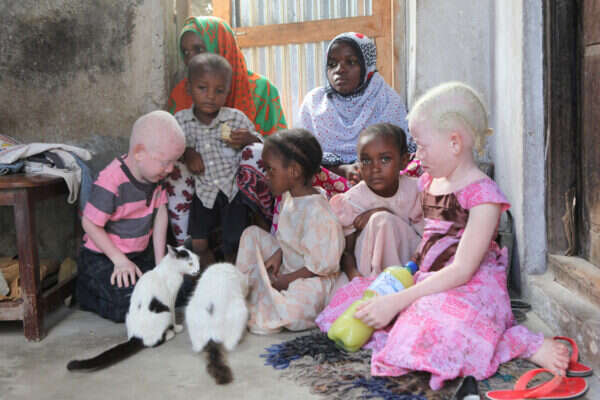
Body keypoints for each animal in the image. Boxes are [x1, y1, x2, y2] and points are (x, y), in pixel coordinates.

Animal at [67, 244, 200, 371]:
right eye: (190, 263)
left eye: (197, 261)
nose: (198, 270)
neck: (169, 269)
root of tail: (137, 335)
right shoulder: (171, 300)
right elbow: (173, 316)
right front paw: (177, 328)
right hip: (164, 313)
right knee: (152, 343)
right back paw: (169, 334)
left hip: (128, 315)